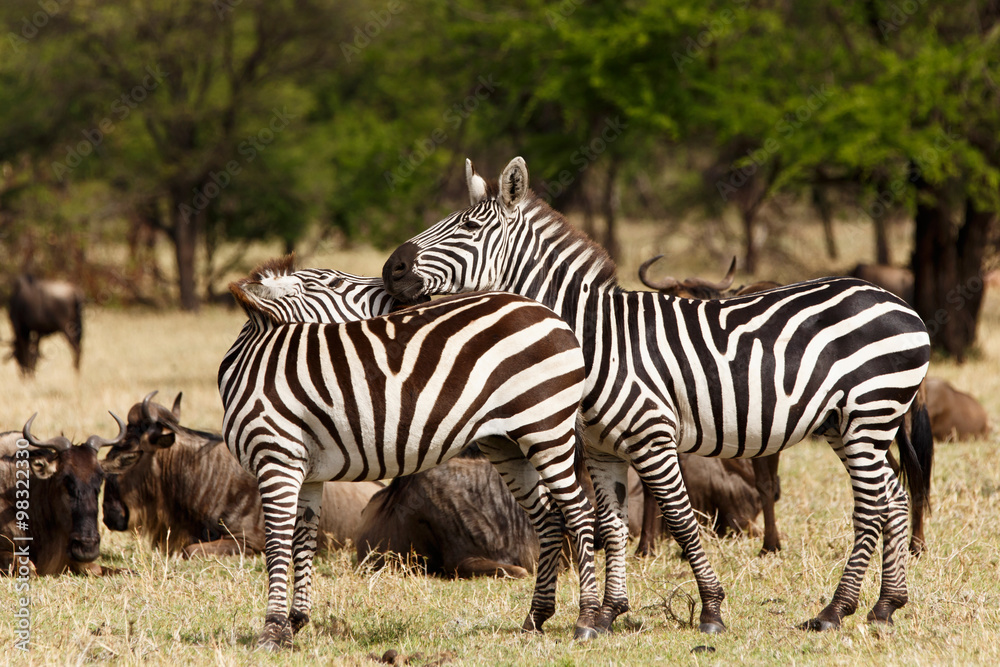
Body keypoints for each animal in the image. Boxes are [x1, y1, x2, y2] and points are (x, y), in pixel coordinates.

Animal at [219, 267, 605, 648]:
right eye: (335, 282)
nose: (405, 292)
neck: (253, 366)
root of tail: (548, 313)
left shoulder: (276, 460)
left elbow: (277, 545)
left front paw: (272, 631)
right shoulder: (306, 471)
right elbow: (303, 542)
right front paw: (294, 622)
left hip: (546, 427)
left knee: (579, 512)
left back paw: (587, 620)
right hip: (506, 443)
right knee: (549, 518)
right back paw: (536, 617)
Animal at [381, 156, 933, 634]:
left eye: (467, 229)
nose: (392, 268)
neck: (595, 338)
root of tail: (897, 301)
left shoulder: (652, 438)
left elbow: (682, 523)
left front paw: (710, 610)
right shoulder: (601, 448)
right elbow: (610, 527)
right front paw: (608, 614)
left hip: (868, 416)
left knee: (871, 506)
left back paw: (835, 610)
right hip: (848, 424)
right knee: (895, 498)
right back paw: (886, 605)